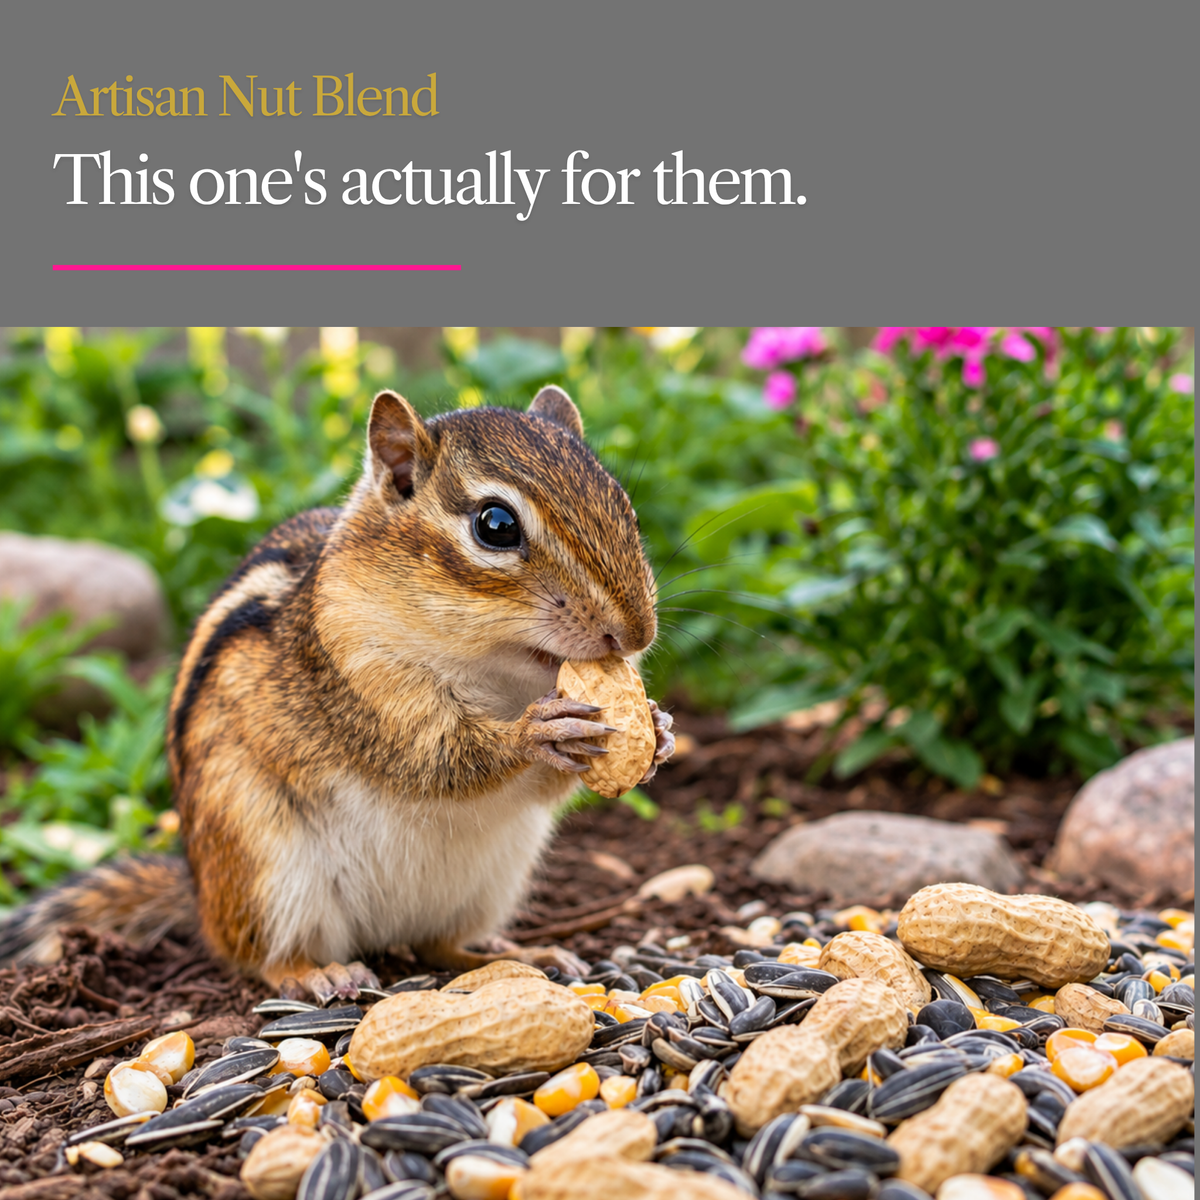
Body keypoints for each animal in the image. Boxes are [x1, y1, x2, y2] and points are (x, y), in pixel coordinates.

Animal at [0, 387, 674, 998]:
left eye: (625, 506)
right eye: (496, 525)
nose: (636, 633)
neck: (498, 676)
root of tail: (200, 895)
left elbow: (546, 787)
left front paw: (658, 731)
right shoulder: (356, 686)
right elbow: (437, 758)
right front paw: (538, 732)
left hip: (494, 880)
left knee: (438, 945)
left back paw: (519, 954)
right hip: (266, 870)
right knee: (261, 959)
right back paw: (317, 973)